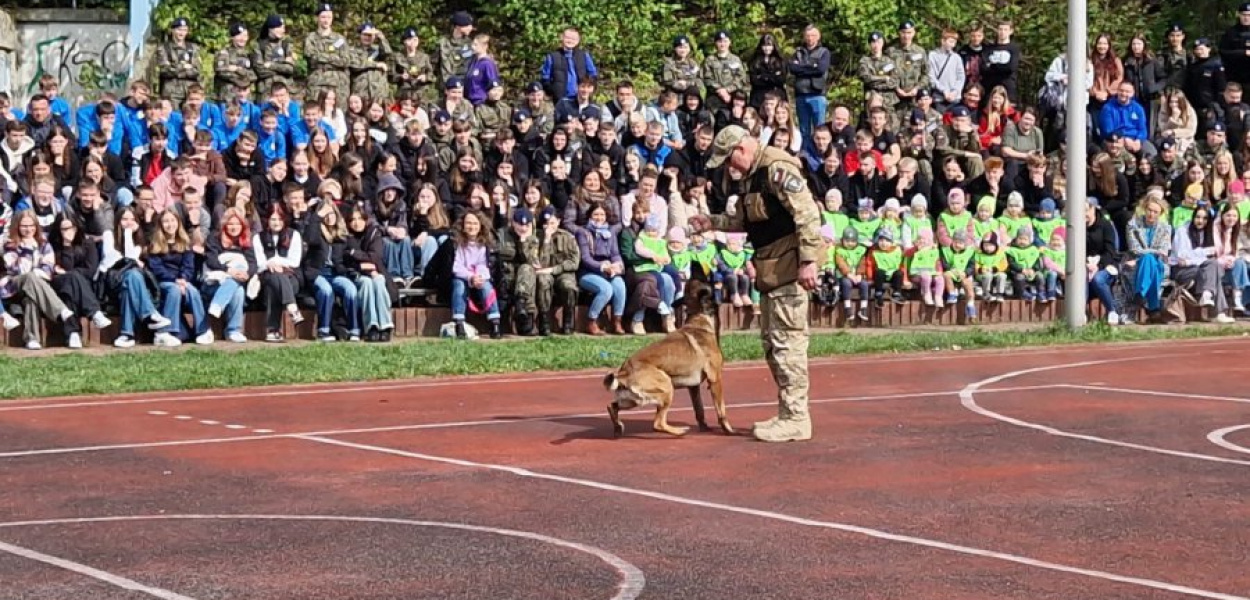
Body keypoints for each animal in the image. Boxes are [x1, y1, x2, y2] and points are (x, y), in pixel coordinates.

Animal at [602, 278, 730, 437]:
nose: (719, 282)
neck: (699, 317)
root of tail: (624, 372)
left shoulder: (693, 388)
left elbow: (699, 409)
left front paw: (704, 427)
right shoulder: (715, 379)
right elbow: (721, 409)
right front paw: (727, 428)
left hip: (634, 400)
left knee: (612, 406)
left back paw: (618, 427)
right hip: (667, 387)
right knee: (658, 423)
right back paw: (679, 431)